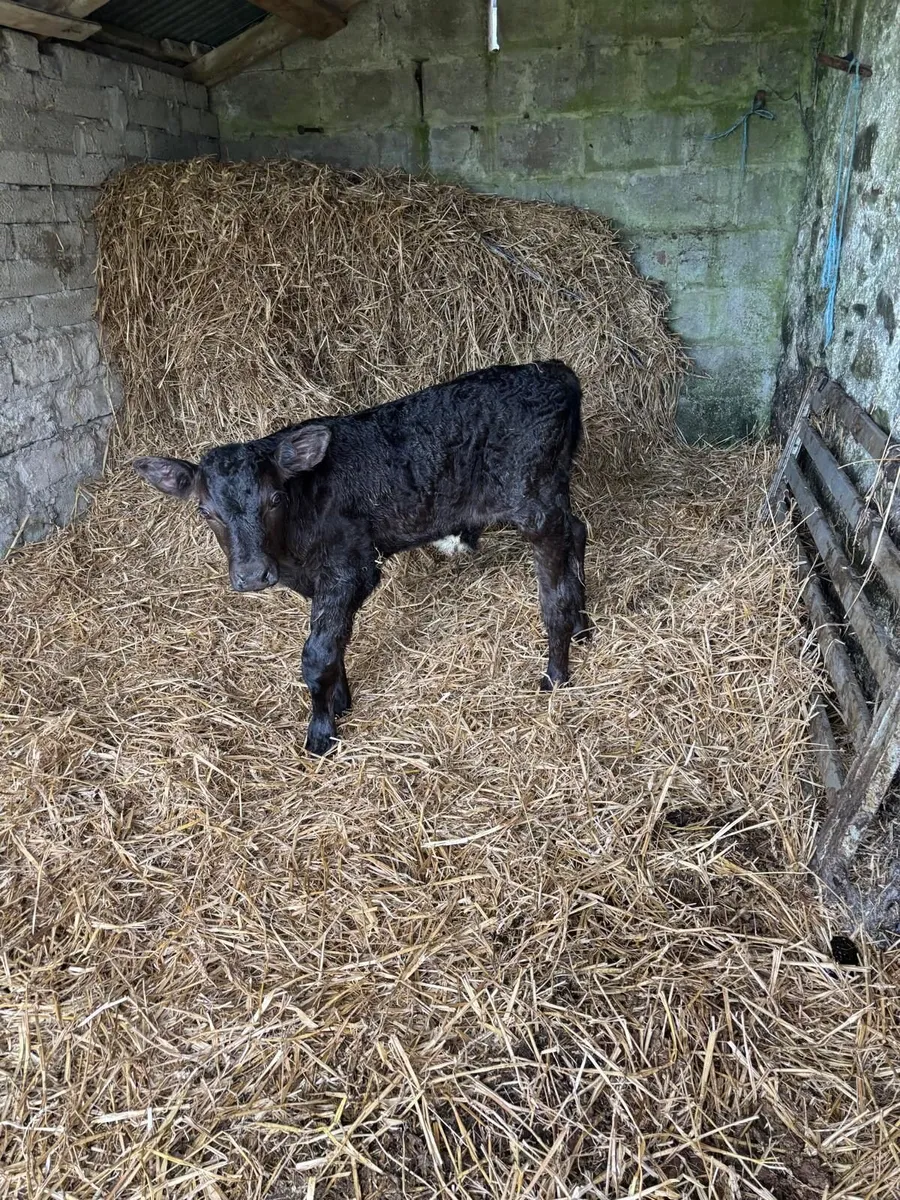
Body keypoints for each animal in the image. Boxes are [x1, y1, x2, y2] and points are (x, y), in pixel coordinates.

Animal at [133, 360, 590, 756]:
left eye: (275, 499)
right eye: (204, 512)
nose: (252, 575)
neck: (292, 549)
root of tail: (555, 371)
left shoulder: (351, 567)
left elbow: (317, 654)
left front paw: (321, 733)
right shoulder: (316, 580)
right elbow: (333, 642)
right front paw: (341, 702)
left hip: (534, 502)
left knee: (555, 593)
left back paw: (555, 673)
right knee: (578, 531)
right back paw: (583, 626)